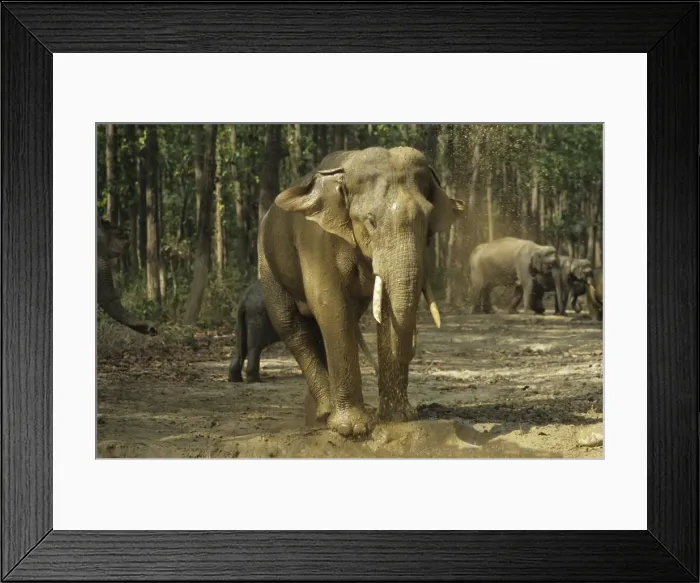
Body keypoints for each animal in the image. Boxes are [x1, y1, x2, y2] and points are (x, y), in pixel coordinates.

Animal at [228, 279, 378, 383]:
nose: (376, 373)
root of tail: (243, 299)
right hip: (259, 317)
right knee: (254, 347)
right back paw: (255, 380)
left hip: (244, 320)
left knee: (241, 347)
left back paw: (235, 379)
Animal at [258, 146, 465, 437]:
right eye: (371, 221)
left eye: (428, 223)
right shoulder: (317, 240)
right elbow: (330, 304)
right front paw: (353, 429)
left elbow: (385, 310)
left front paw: (398, 418)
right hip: (267, 262)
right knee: (292, 326)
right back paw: (325, 412)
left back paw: (319, 415)